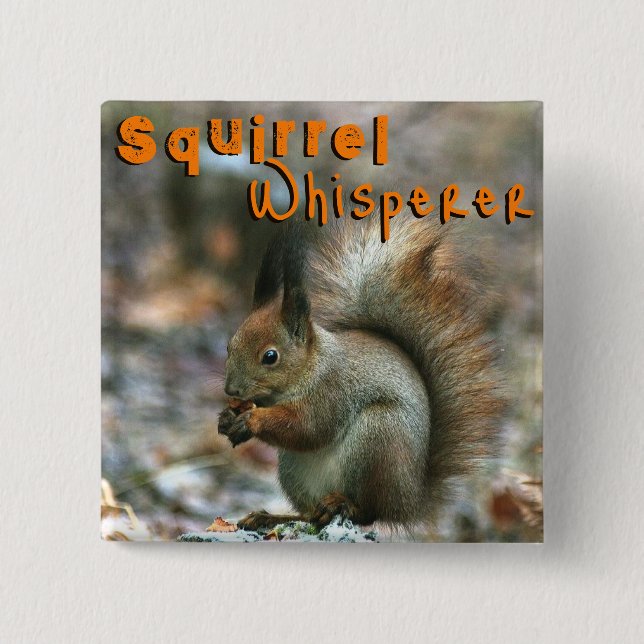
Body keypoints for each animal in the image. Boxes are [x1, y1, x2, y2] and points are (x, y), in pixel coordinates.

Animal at [218, 211, 506, 531]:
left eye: (270, 356)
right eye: (229, 345)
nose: (231, 390)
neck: (311, 368)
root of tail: (409, 500)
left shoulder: (333, 389)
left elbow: (308, 428)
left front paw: (251, 420)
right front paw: (227, 419)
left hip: (379, 436)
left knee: (368, 511)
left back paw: (343, 504)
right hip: (293, 470)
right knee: (310, 515)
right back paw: (270, 517)